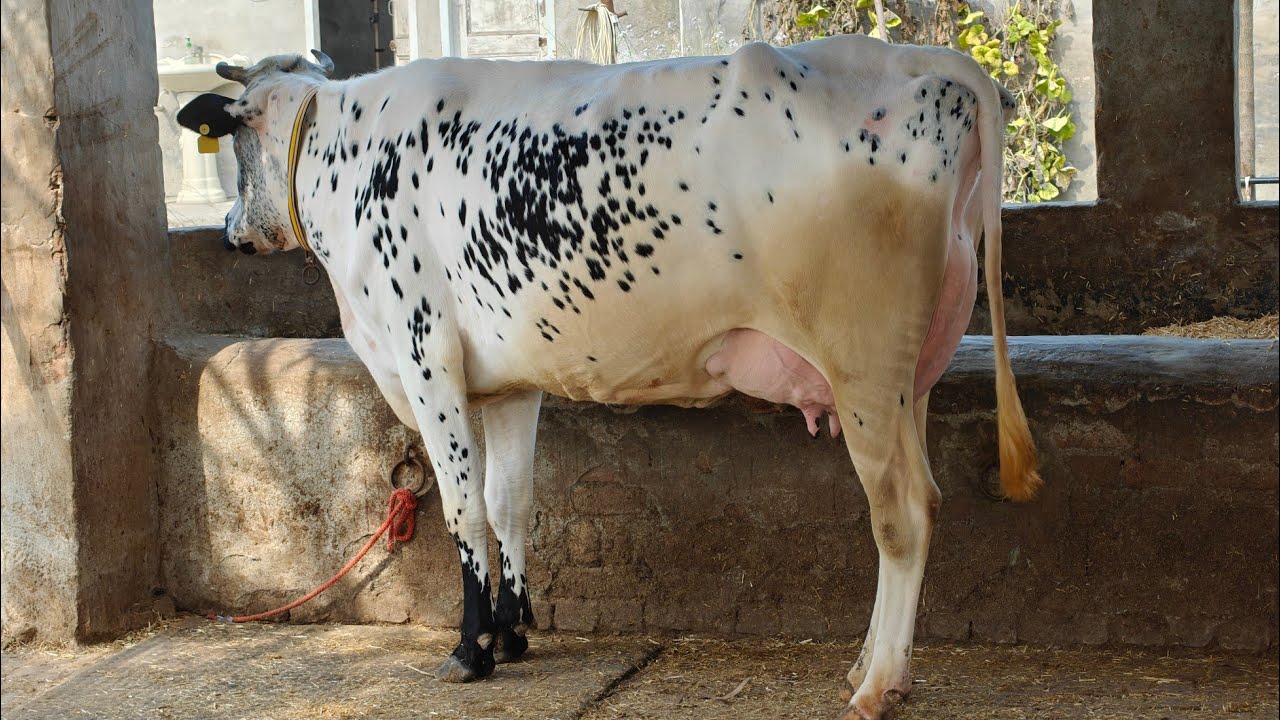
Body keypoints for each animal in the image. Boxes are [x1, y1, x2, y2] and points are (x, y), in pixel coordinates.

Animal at [177, 36, 1040, 719]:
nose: (227, 232)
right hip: (907, 380)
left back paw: (878, 684)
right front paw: (512, 632)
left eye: (234, 141)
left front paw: (469, 650)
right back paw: (873, 666)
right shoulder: (510, 382)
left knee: (902, 515)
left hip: (862, 366)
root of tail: (910, 57)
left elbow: (464, 510)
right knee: (925, 498)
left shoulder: (426, 360)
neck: (344, 157)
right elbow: (511, 502)